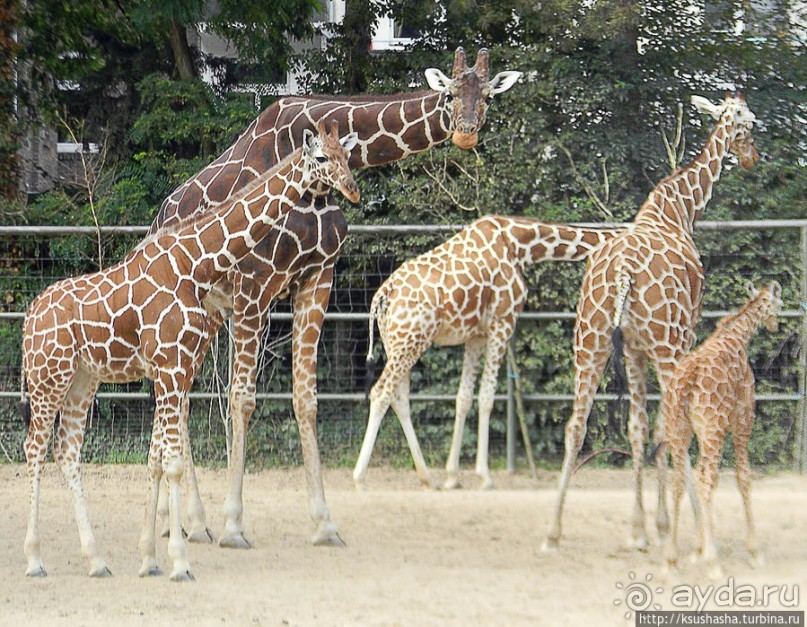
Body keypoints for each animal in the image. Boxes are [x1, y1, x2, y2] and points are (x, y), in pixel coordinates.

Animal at [18, 120, 360, 580]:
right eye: (321, 157)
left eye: (347, 155)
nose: (351, 189)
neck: (195, 263)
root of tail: (28, 319)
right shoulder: (171, 366)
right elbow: (171, 461)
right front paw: (178, 561)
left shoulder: (176, 369)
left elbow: (158, 459)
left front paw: (149, 559)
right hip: (47, 379)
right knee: (34, 449)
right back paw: (35, 559)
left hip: (82, 381)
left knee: (66, 451)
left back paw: (97, 560)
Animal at [148, 46, 520, 548]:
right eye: (448, 93)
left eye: (487, 96)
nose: (465, 133)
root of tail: (156, 220)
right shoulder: (255, 286)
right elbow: (242, 399)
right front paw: (234, 525)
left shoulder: (316, 278)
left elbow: (306, 398)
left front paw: (324, 523)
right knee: (175, 395)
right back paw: (190, 522)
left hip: (205, 318)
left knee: (178, 396)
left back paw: (187, 522)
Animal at [350, 216, 620, 490]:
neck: (520, 245)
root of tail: (383, 294)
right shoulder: (503, 321)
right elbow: (487, 398)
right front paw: (484, 476)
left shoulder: (476, 334)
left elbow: (464, 398)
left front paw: (452, 476)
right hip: (410, 342)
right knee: (381, 392)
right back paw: (360, 478)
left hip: (398, 343)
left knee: (400, 398)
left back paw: (427, 478)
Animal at [548, 94, 760, 556]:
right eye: (748, 122)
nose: (754, 156)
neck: (678, 209)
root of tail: (623, 272)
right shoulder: (679, 340)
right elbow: (665, 427)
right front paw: (663, 525)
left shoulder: (632, 349)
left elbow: (638, 429)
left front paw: (640, 528)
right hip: (665, 347)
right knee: (676, 426)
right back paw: (698, 529)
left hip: (590, 342)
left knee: (576, 425)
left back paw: (552, 532)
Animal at [664, 282, 784, 580]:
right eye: (779, 302)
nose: (775, 324)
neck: (738, 337)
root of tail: (687, 380)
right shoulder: (742, 418)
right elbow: (743, 477)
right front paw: (754, 552)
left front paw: (698, 549)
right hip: (713, 429)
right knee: (703, 479)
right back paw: (713, 564)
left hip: (680, 430)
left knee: (680, 478)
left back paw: (670, 559)